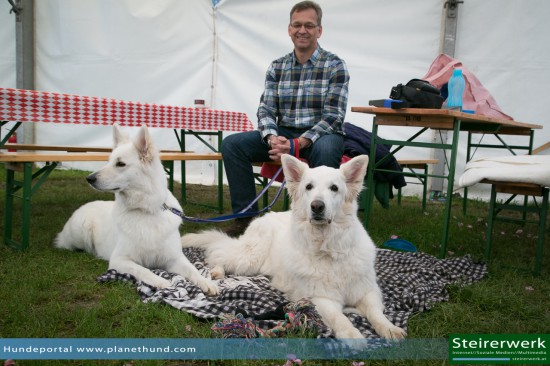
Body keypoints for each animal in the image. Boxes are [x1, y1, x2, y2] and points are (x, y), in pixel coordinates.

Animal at [55, 124, 218, 296]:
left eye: (120, 164)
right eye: (109, 161)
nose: (89, 178)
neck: (145, 210)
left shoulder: (174, 258)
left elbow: (193, 270)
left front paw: (206, 282)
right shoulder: (120, 260)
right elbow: (143, 270)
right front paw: (161, 282)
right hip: (82, 231)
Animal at [181, 154, 406, 340]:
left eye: (334, 188)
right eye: (308, 187)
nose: (317, 206)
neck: (329, 248)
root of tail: (265, 216)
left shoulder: (368, 291)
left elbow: (376, 313)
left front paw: (390, 328)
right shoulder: (321, 299)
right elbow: (340, 318)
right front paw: (351, 334)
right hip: (250, 258)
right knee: (218, 253)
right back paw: (216, 273)